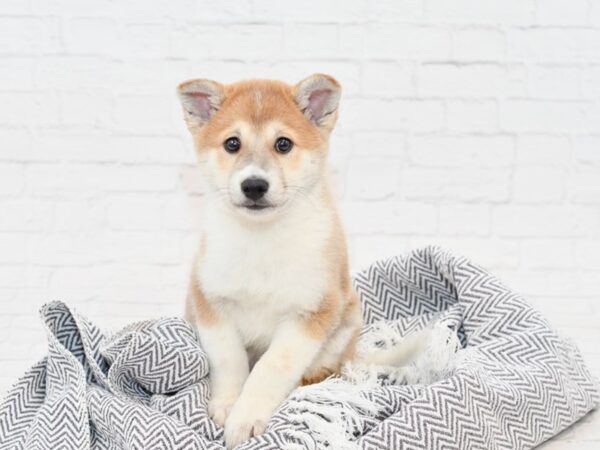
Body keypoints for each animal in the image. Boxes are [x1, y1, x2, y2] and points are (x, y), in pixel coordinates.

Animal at [178, 75, 420, 448]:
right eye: (232, 143)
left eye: (283, 144)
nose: (254, 185)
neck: (261, 239)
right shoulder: (211, 302)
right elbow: (229, 360)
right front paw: (227, 404)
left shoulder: (309, 314)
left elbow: (270, 369)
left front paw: (245, 417)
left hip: (346, 318)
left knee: (323, 369)